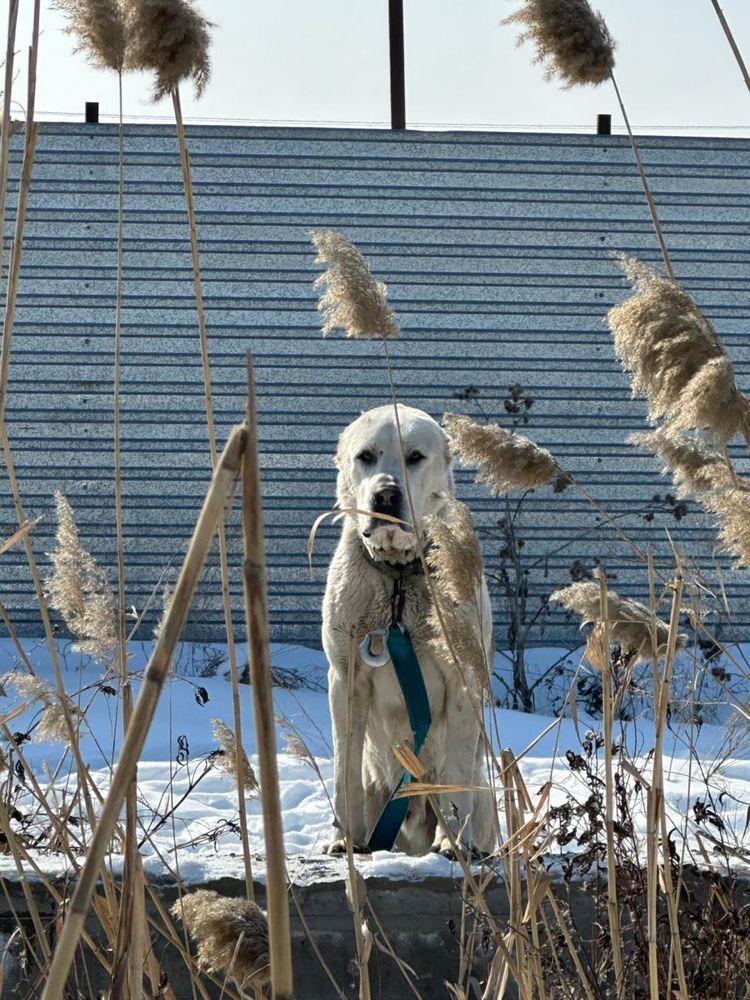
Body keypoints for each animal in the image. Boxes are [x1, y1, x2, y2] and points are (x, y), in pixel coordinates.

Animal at [322, 402, 494, 856]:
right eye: (366, 456)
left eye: (415, 456)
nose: (385, 494)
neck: (399, 572)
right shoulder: (346, 678)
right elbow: (344, 770)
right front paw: (343, 840)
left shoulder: (463, 677)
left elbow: (455, 768)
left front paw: (452, 845)